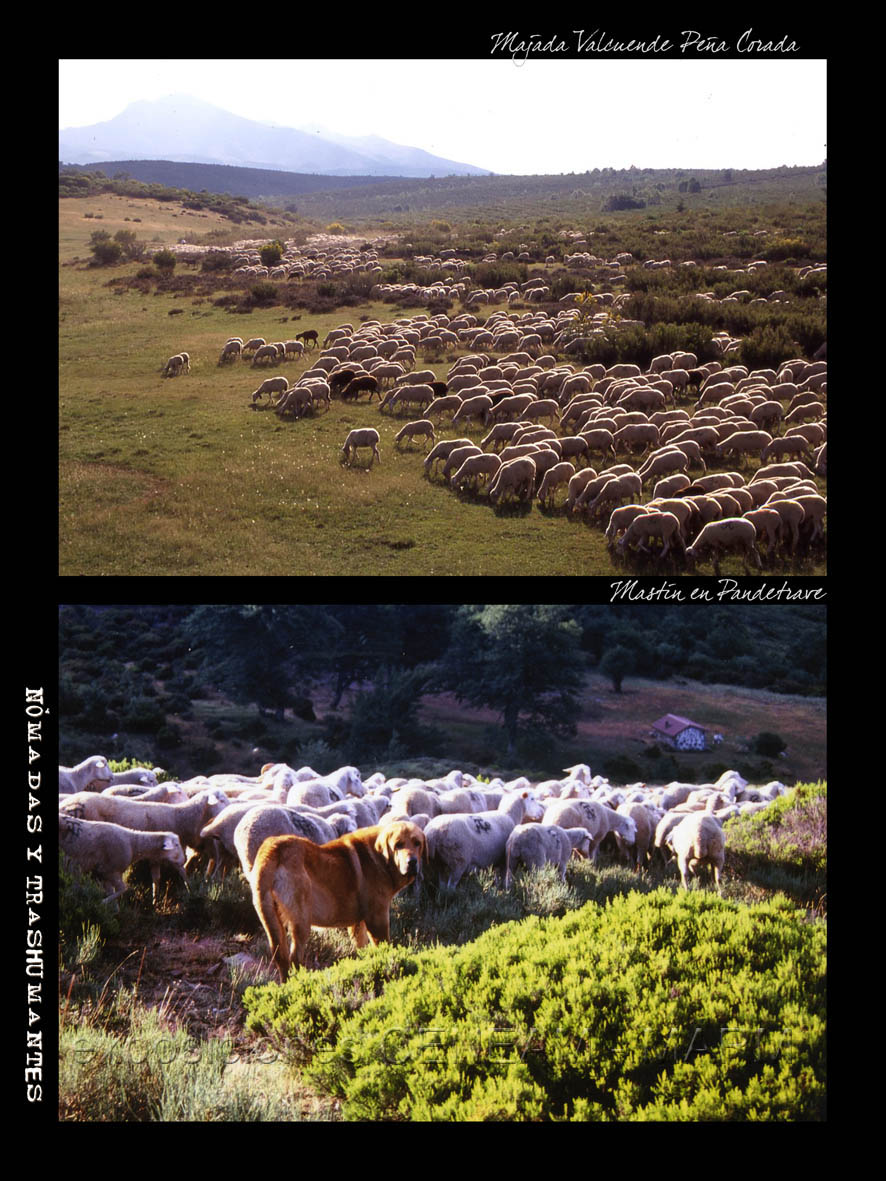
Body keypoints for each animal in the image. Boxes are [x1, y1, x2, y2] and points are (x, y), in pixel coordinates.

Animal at [251, 821, 427, 977]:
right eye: (398, 845)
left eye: (417, 843)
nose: (412, 862)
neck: (381, 858)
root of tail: (272, 850)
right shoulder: (377, 919)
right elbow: (384, 949)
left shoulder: (357, 925)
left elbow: (362, 950)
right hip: (301, 923)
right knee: (295, 959)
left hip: (271, 920)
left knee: (281, 958)